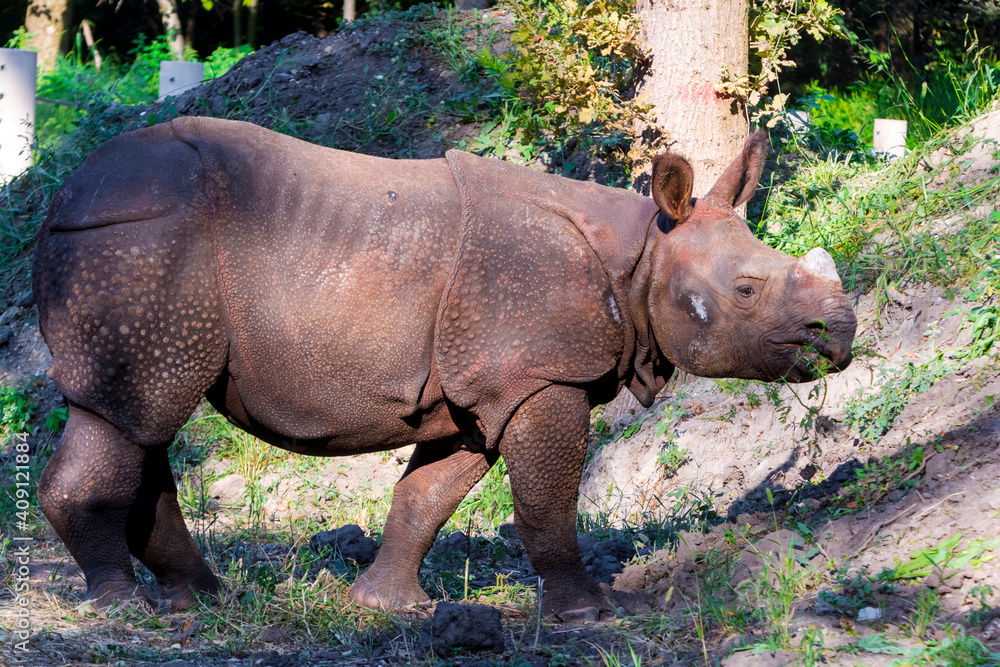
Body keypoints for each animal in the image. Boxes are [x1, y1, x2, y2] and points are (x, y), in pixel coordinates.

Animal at [32, 116, 856, 621]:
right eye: (746, 291)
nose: (840, 334)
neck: (645, 252)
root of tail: (62, 195)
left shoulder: (484, 384)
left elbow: (426, 495)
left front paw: (385, 606)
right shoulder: (539, 373)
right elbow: (546, 500)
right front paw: (589, 612)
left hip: (136, 243)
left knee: (141, 423)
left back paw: (204, 599)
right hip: (144, 242)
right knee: (129, 412)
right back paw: (121, 607)